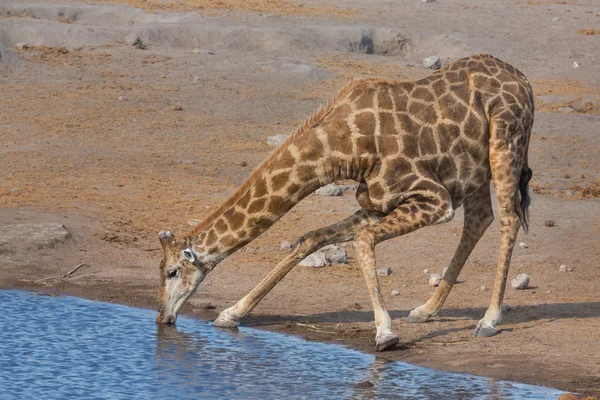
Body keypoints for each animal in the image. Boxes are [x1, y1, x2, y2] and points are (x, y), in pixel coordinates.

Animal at [156, 52, 536, 350]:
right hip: (474, 171)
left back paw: (488, 319)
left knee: (508, 219)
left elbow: (363, 241)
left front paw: (385, 333)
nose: (162, 317)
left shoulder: (435, 199)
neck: (344, 149)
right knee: (480, 218)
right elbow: (310, 239)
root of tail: (524, 81)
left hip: (505, 146)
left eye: (172, 272)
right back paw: (426, 310)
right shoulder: (375, 204)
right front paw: (231, 314)